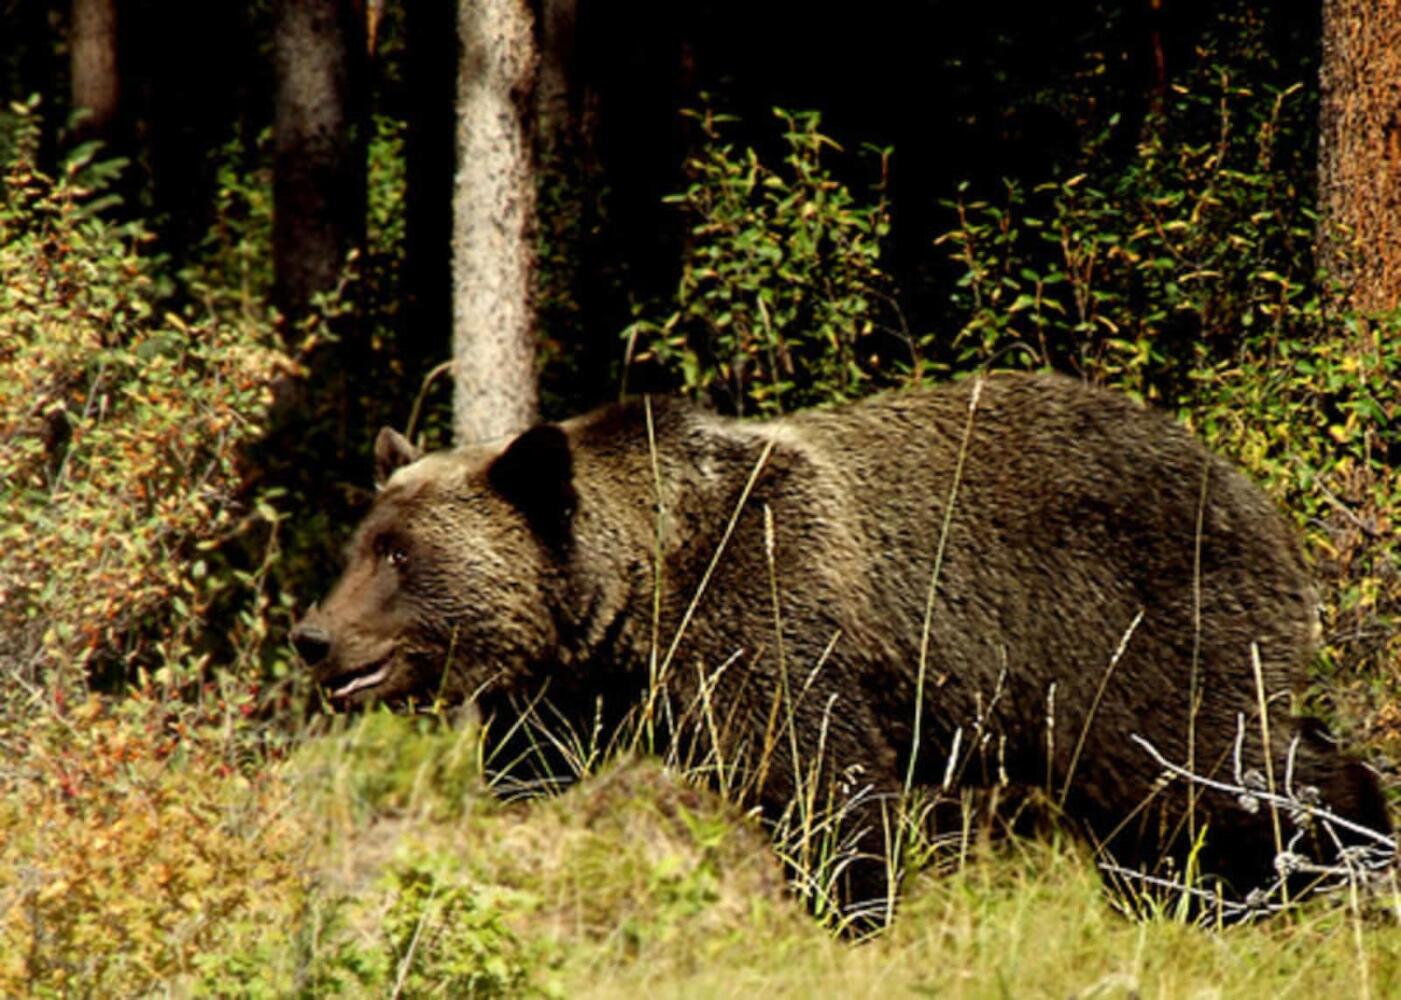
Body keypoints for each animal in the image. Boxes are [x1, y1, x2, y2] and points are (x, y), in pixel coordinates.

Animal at [292, 369, 1389, 924]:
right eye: (363, 543)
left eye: (399, 556)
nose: (314, 638)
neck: (640, 590)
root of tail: (1254, 490)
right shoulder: (586, 686)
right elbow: (536, 773)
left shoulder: (766, 607)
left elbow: (819, 774)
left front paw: (846, 906)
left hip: (1129, 618)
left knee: (1208, 757)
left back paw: (1326, 857)